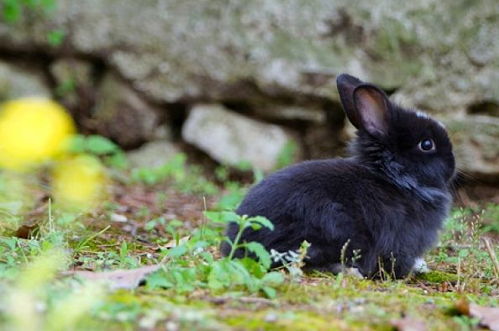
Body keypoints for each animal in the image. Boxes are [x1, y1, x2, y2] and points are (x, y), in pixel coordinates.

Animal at [221, 74, 456, 278]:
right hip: (331, 227)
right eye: (427, 144)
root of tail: (238, 244)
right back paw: (349, 271)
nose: (452, 164)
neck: (396, 178)